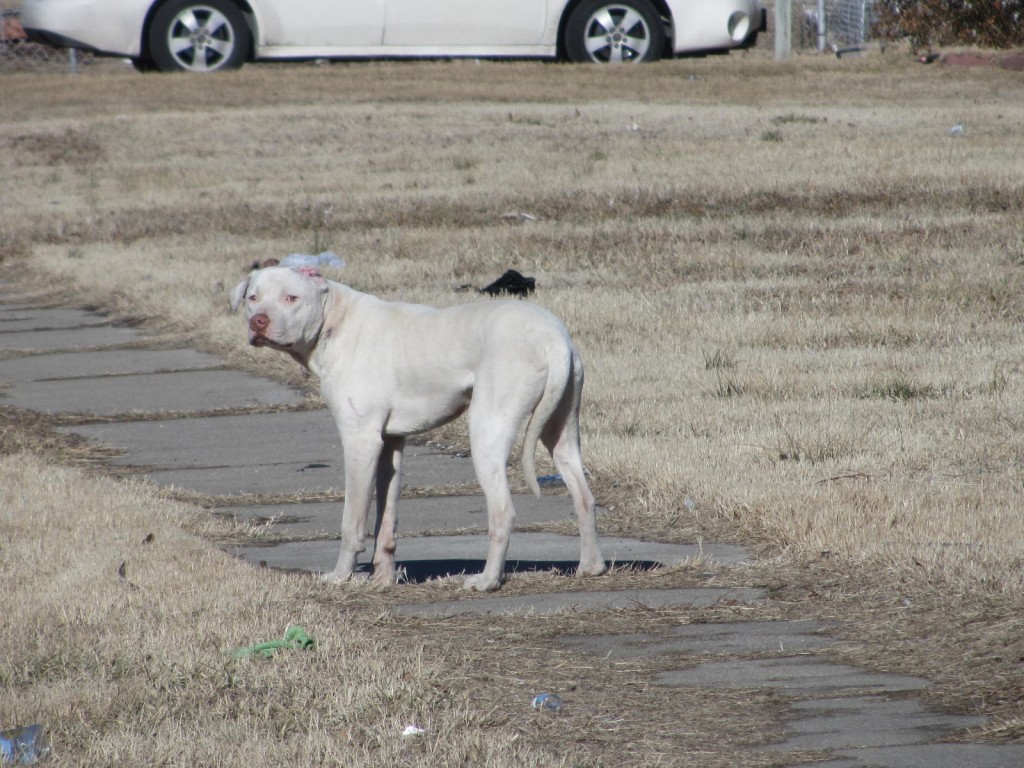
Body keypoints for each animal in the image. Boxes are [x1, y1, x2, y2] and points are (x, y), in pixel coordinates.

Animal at [228, 268, 602, 593]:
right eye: (252, 297)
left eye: (291, 297)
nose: (258, 321)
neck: (335, 319)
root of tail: (553, 338)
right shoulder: (390, 443)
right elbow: (386, 520)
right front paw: (382, 579)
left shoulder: (360, 442)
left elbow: (352, 521)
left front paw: (340, 576)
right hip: (560, 432)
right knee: (584, 496)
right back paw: (590, 567)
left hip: (487, 433)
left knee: (502, 510)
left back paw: (487, 580)